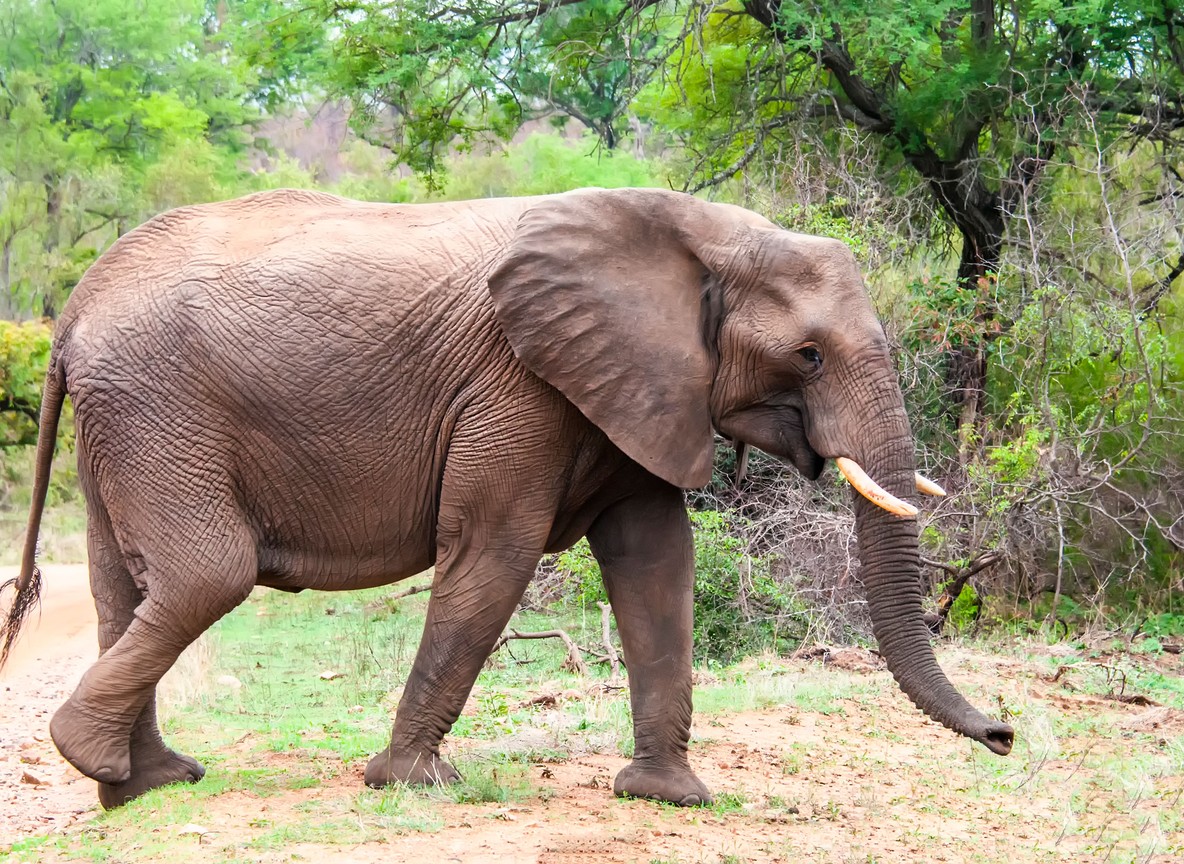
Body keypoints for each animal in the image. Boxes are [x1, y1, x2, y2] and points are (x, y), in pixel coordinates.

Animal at [0, 187, 1013, 810]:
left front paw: (667, 797)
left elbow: (656, 562)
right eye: (807, 355)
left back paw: (146, 785)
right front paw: (410, 783)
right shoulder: (519, 386)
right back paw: (98, 758)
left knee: (124, 587)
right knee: (207, 575)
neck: (696, 230)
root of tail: (74, 309)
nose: (1004, 736)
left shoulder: (633, 384)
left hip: (127, 421)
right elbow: (496, 550)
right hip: (158, 409)